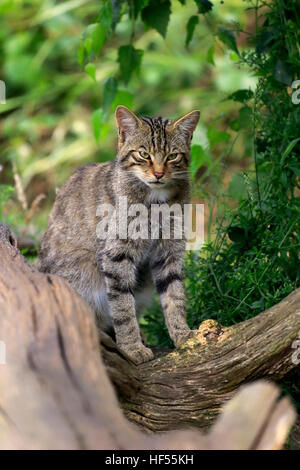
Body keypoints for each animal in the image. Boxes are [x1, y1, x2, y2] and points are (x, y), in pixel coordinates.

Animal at [38, 106, 200, 364]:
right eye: (144, 154)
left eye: (172, 156)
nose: (158, 174)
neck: (156, 202)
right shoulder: (117, 254)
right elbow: (122, 307)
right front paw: (131, 347)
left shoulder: (170, 251)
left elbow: (175, 296)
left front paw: (182, 333)